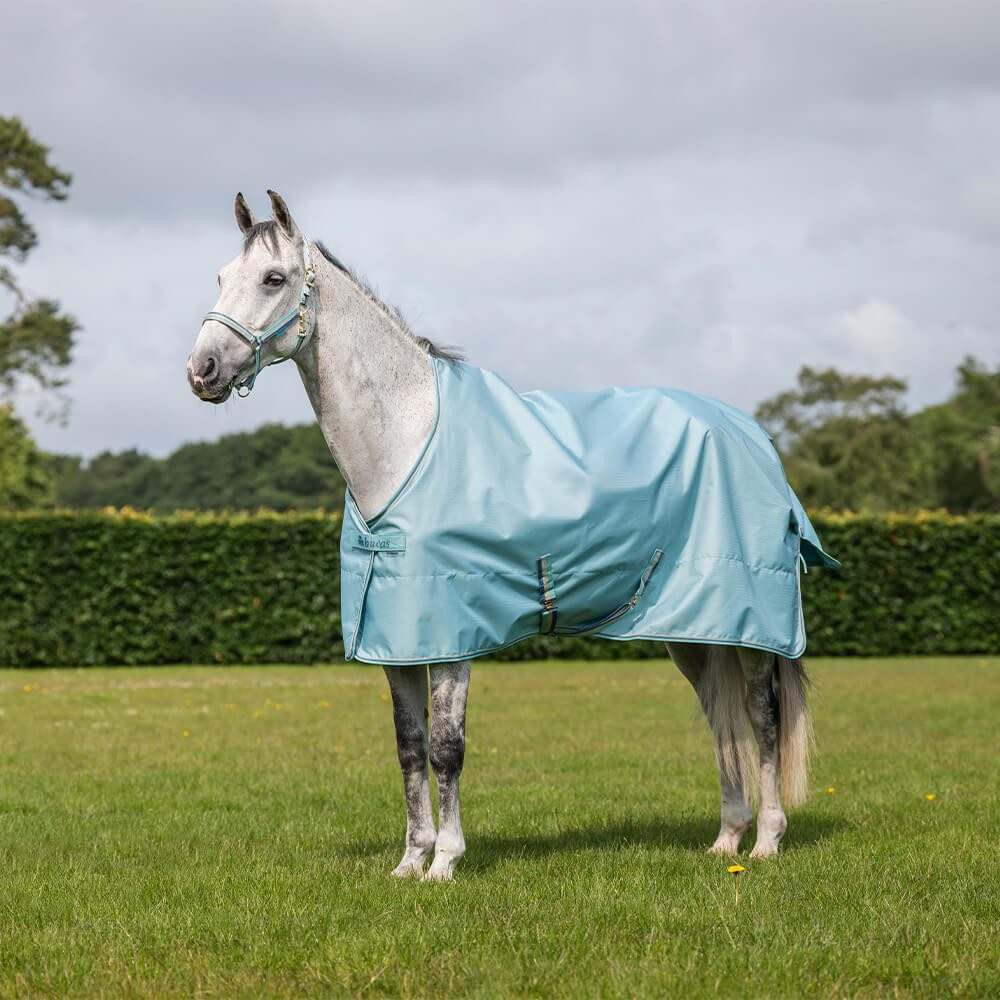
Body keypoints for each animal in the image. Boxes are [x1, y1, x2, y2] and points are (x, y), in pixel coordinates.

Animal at [187, 190, 833, 881]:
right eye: (220, 277)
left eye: (272, 278)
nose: (201, 371)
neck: (406, 445)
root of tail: (754, 436)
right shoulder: (398, 644)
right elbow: (409, 748)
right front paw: (409, 862)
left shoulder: (451, 641)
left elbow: (447, 749)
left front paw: (445, 862)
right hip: (695, 630)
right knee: (721, 718)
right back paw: (726, 839)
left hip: (753, 629)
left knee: (762, 718)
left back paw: (766, 840)